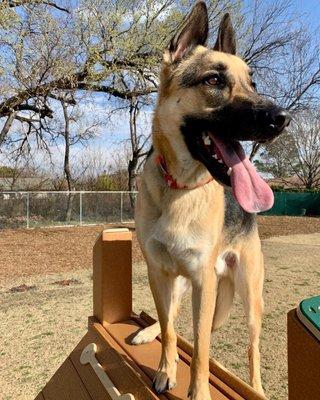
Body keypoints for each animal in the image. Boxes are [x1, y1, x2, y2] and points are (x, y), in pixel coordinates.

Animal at [132, 1, 290, 398]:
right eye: (213, 81)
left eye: (253, 83)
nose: (283, 119)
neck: (179, 189)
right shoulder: (159, 272)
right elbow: (170, 328)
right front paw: (166, 368)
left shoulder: (203, 283)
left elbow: (201, 348)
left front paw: (199, 389)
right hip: (180, 281)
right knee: (170, 319)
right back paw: (149, 331)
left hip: (249, 298)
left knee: (251, 348)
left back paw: (256, 386)